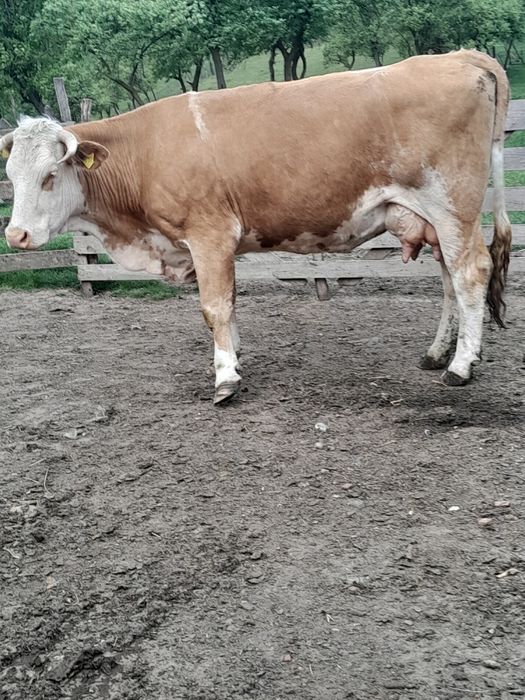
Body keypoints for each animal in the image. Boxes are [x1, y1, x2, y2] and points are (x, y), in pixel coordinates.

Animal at [0, 49, 512, 404]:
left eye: (49, 176)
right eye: (11, 175)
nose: (15, 235)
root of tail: (460, 55)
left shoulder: (209, 234)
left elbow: (214, 307)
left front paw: (225, 377)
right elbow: (226, 308)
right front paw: (235, 354)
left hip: (453, 207)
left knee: (470, 274)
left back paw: (460, 366)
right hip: (433, 218)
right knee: (448, 280)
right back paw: (437, 353)